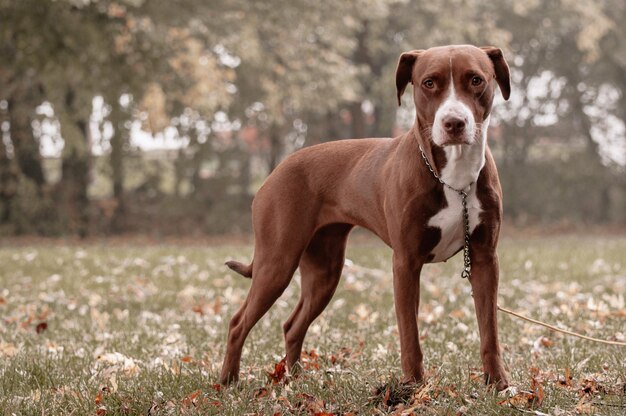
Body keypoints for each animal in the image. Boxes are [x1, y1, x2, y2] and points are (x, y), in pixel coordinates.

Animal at [219, 44, 508, 388]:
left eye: (476, 80)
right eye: (429, 83)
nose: (454, 123)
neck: (455, 177)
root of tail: (275, 171)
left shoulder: (484, 259)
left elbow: (489, 331)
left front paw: (498, 385)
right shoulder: (406, 262)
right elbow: (409, 334)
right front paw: (413, 387)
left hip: (325, 270)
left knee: (292, 325)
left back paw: (296, 380)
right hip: (277, 261)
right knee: (238, 322)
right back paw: (227, 382)